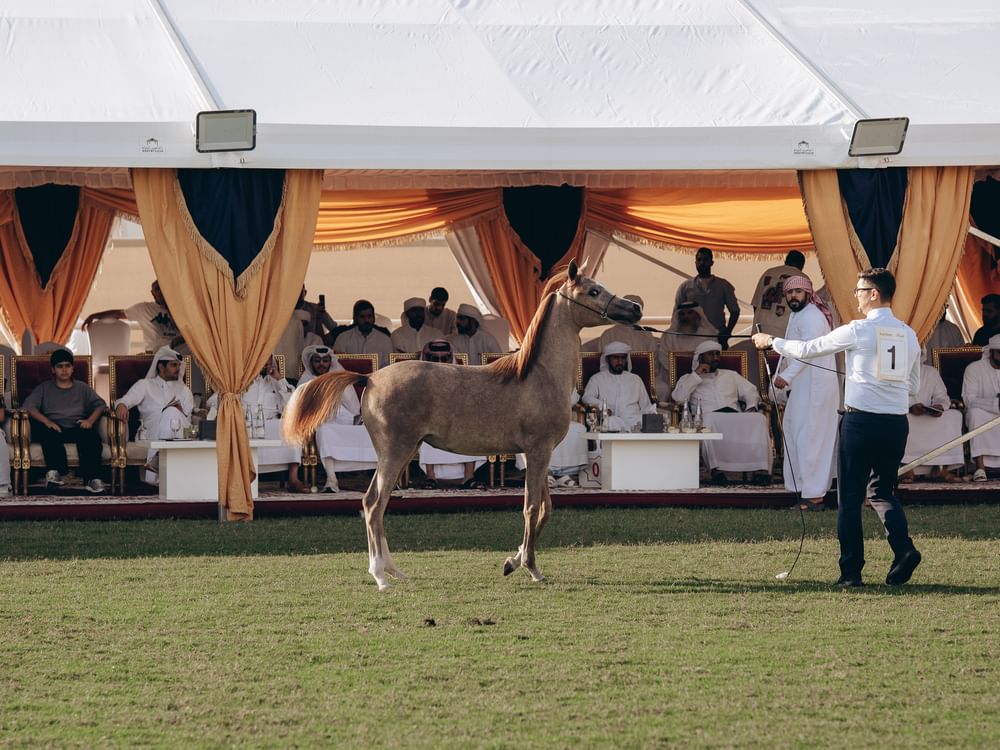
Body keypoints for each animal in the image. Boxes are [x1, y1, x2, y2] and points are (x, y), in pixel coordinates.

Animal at [283, 261, 642, 590]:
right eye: (593, 291)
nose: (634, 309)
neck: (537, 376)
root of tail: (369, 378)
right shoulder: (538, 452)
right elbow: (532, 508)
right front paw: (531, 568)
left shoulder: (542, 455)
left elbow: (546, 509)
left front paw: (511, 562)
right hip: (395, 452)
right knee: (373, 504)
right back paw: (381, 577)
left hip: (403, 452)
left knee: (379, 505)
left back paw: (394, 571)